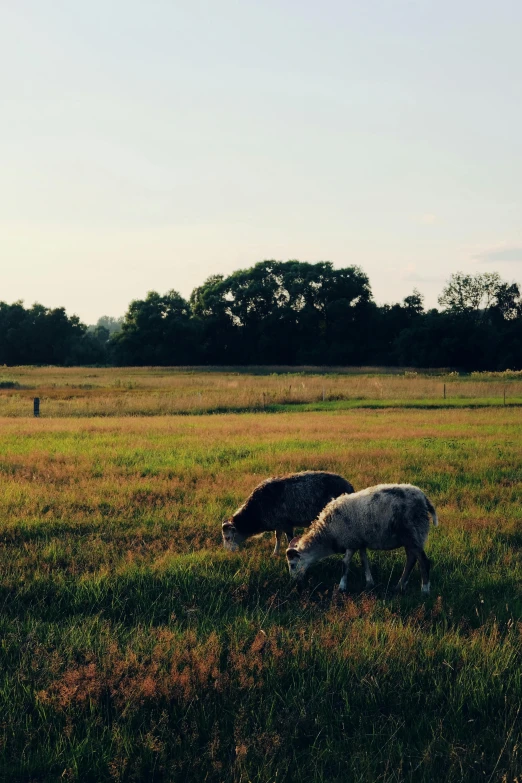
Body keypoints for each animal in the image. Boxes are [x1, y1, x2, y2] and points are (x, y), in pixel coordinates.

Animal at [219, 468, 354, 556]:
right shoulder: (278, 523)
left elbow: (290, 540)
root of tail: (349, 486)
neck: (256, 512)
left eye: (228, 537)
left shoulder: (287, 524)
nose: (228, 552)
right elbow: (277, 537)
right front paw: (275, 553)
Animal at [284, 484, 434, 596]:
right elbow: (364, 561)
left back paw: (425, 590)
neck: (327, 534)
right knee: (411, 560)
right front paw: (369, 582)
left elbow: (345, 563)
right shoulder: (359, 541)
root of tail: (424, 498)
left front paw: (342, 586)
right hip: (410, 537)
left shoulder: (350, 540)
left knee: (423, 561)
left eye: (292, 564)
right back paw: (400, 586)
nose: (295, 583)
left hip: (414, 533)